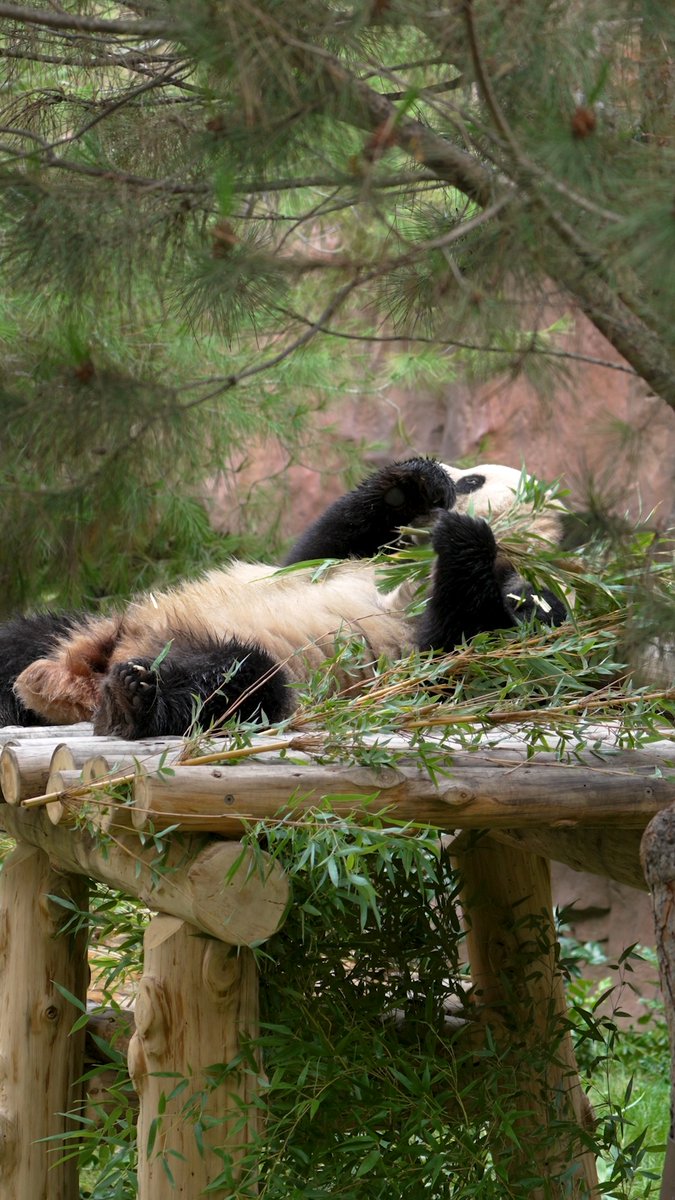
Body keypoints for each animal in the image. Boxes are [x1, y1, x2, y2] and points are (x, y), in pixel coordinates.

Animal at [0, 458, 567, 738]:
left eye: (475, 479)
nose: (451, 480)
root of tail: (74, 682)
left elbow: (458, 659)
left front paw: (465, 535)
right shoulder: (351, 554)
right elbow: (313, 548)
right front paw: (412, 481)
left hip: (258, 667)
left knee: (236, 680)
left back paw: (134, 699)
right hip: (97, 625)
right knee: (22, 638)